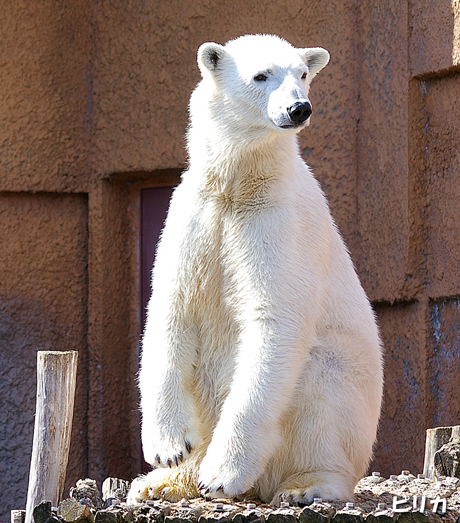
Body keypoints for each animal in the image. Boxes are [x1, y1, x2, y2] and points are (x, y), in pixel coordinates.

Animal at [127, 33, 382, 508]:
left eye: (303, 73)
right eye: (261, 75)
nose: (299, 108)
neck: (238, 186)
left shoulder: (278, 225)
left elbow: (274, 323)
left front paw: (222, 474)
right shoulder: (195, 217)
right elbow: (171, 310)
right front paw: (167, 448)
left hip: (345, 395)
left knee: (322, 390)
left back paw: (306, 485)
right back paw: (163, 482)